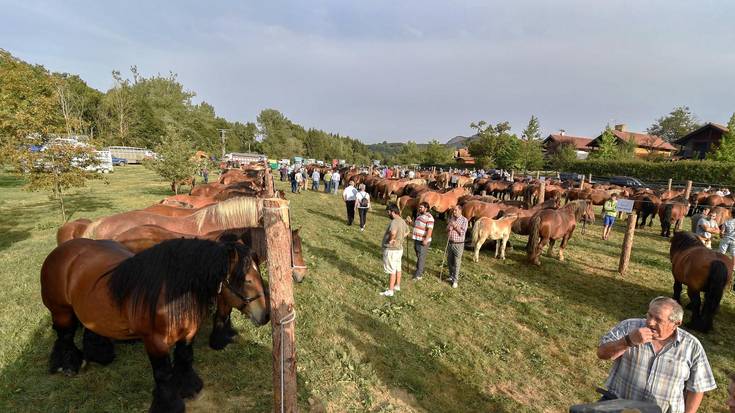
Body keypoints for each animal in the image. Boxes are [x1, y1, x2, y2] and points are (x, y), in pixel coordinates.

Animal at [41, 237, 270, 410]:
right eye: (246, 280)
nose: (266, 315)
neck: (170, 294)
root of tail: (60, 250)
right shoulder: (155, 342)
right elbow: (163, 373)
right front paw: (170, 405)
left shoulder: (188, 334)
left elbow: (185, 358)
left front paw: (188, 388)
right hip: (61, 311)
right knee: (65, 336)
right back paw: (66, 365)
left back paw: (99, 355)